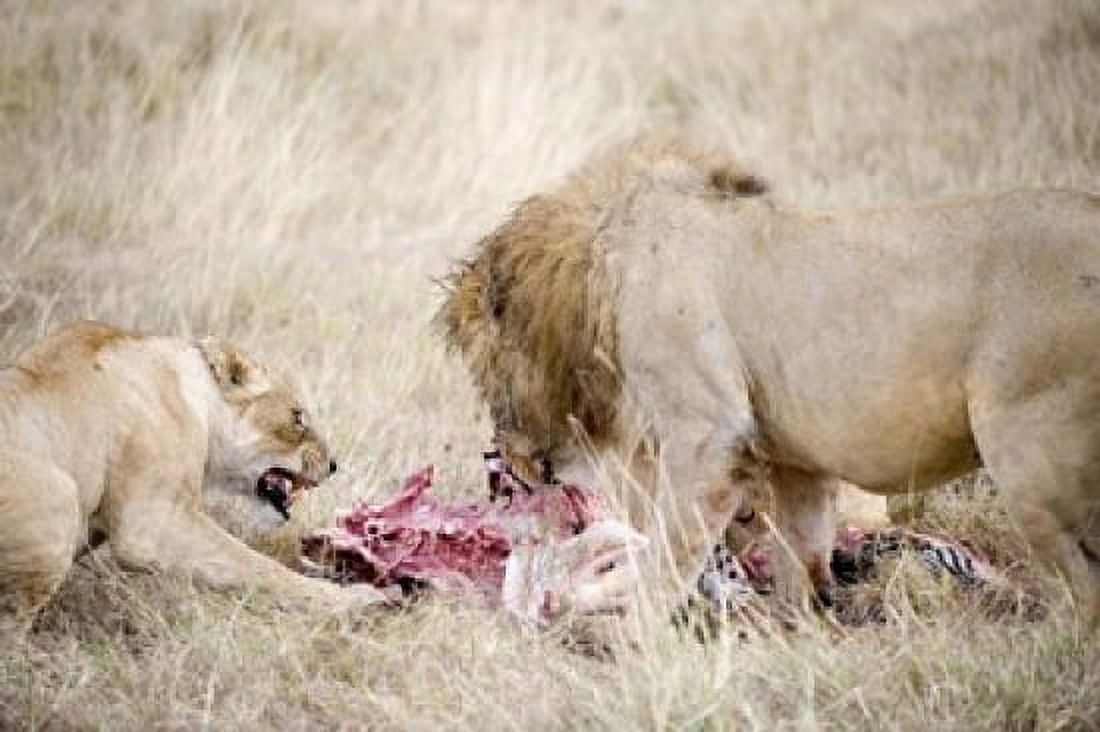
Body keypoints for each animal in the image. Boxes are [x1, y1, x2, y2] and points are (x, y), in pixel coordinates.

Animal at [0, 320, 385, 635]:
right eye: (298, 417)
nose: (333, 464)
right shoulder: (152, 524)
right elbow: (254, 565)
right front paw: (355, 601)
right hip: (59, 493)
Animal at [437, 136, 1100, 625]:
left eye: (483, 372)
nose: (498, 456)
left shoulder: (708, 434)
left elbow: (667, 557)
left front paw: (632, 645)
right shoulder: (797, 464)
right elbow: (799, 558)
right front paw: (795, 634)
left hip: (1028, 454)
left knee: (1081, 593)